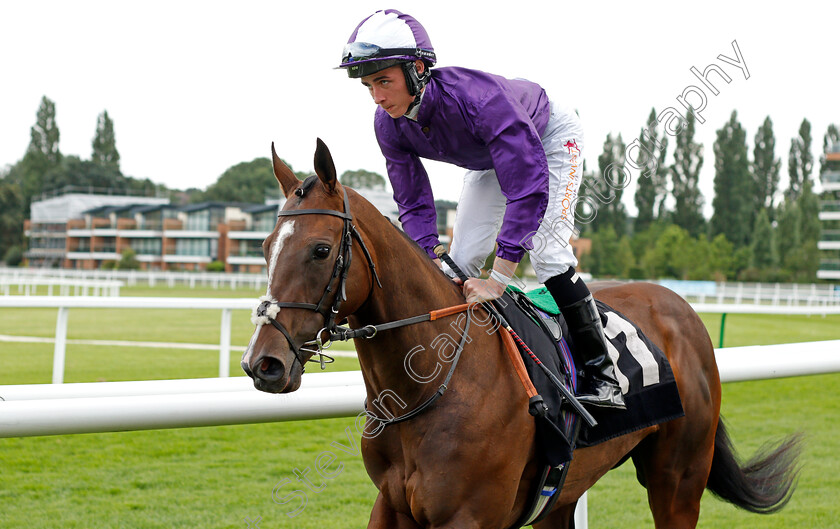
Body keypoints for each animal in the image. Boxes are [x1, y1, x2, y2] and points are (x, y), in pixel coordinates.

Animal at [243, 138, 800, 524]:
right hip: (565, 493)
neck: (430, 386)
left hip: (678, 479)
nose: (262, 363)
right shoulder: (393, 506)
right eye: (265, 246)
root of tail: (680, 308)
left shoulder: (468, 517)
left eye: (320, 250)